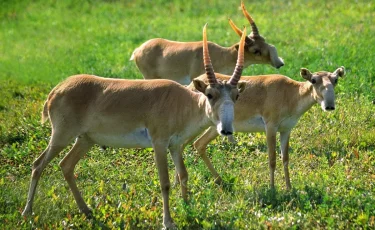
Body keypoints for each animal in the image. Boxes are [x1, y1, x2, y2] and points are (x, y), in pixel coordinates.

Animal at [22, 23, 248, 228]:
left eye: (236, 95)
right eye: (210, 94)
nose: (226, 129)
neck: (183, 101)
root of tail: (56, 89)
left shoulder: (175, 146)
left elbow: (183, 175)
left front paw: (187, 209)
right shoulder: (159, 144)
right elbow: (165, 182)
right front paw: (168, 222)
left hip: (85, 140)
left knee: (66, 165)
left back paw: (86, 211)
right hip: (61, 136)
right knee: (38, 164)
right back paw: (27, 212)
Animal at [188, 66, 346, 189]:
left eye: (335, 80)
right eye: (313, 80)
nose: (329, 105)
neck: (292, 94)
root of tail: (192, 84)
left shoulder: (286, 129)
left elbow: (285, 158)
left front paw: (289, 187)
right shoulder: (270, 126)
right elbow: (272, 159)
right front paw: (272, 188)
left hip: (214, 128)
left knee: (199, 144)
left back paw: (219, 180)